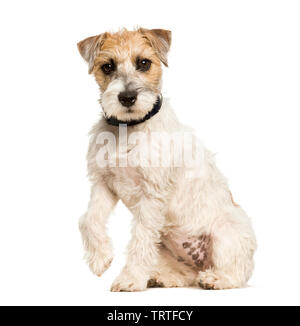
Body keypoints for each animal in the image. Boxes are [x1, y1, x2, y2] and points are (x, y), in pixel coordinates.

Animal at [77, 27, 255, 290]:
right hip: (164, 246)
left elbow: (139, 240)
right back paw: (162, 276)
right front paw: (100, 258)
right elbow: (88, 220)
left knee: (236, 274)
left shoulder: (151, 195)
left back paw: (215, 279)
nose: (127, 97)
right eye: (107, 66)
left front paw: (129, 279)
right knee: (185, 274)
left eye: (143, 63)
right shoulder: (103, 184)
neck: (128, 129)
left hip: (227, 236)